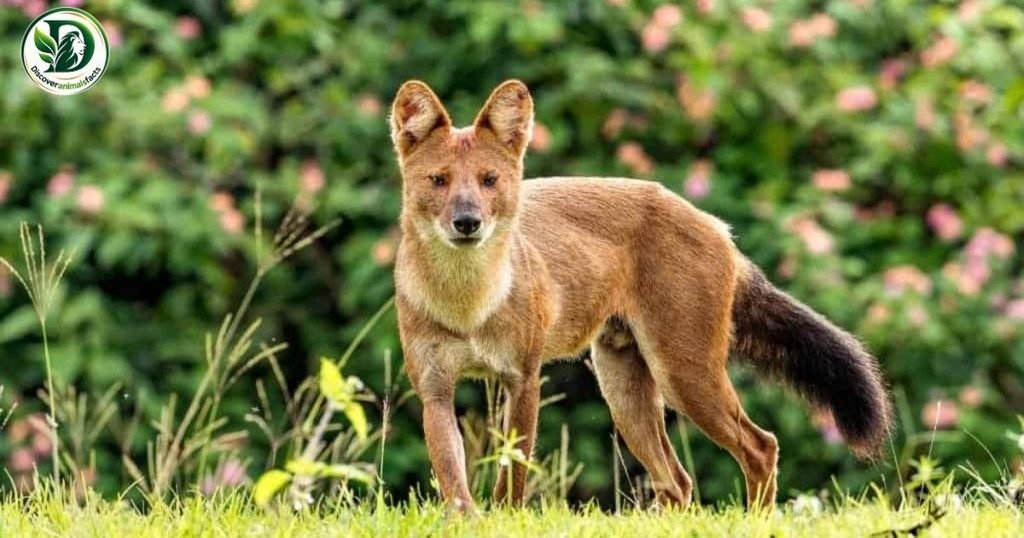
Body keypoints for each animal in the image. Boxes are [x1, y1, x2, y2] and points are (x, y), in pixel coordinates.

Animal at [389, 79, 892, 513]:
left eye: (489, 180)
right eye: (439, 180)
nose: (467, 222)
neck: (468, 305)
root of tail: (715, 224)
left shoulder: (522, 378)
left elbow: (512, 476)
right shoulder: (434, 388)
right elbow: (452, 478)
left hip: (684, 375)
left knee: (760, 446)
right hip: (624, 389)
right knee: (678, 482)